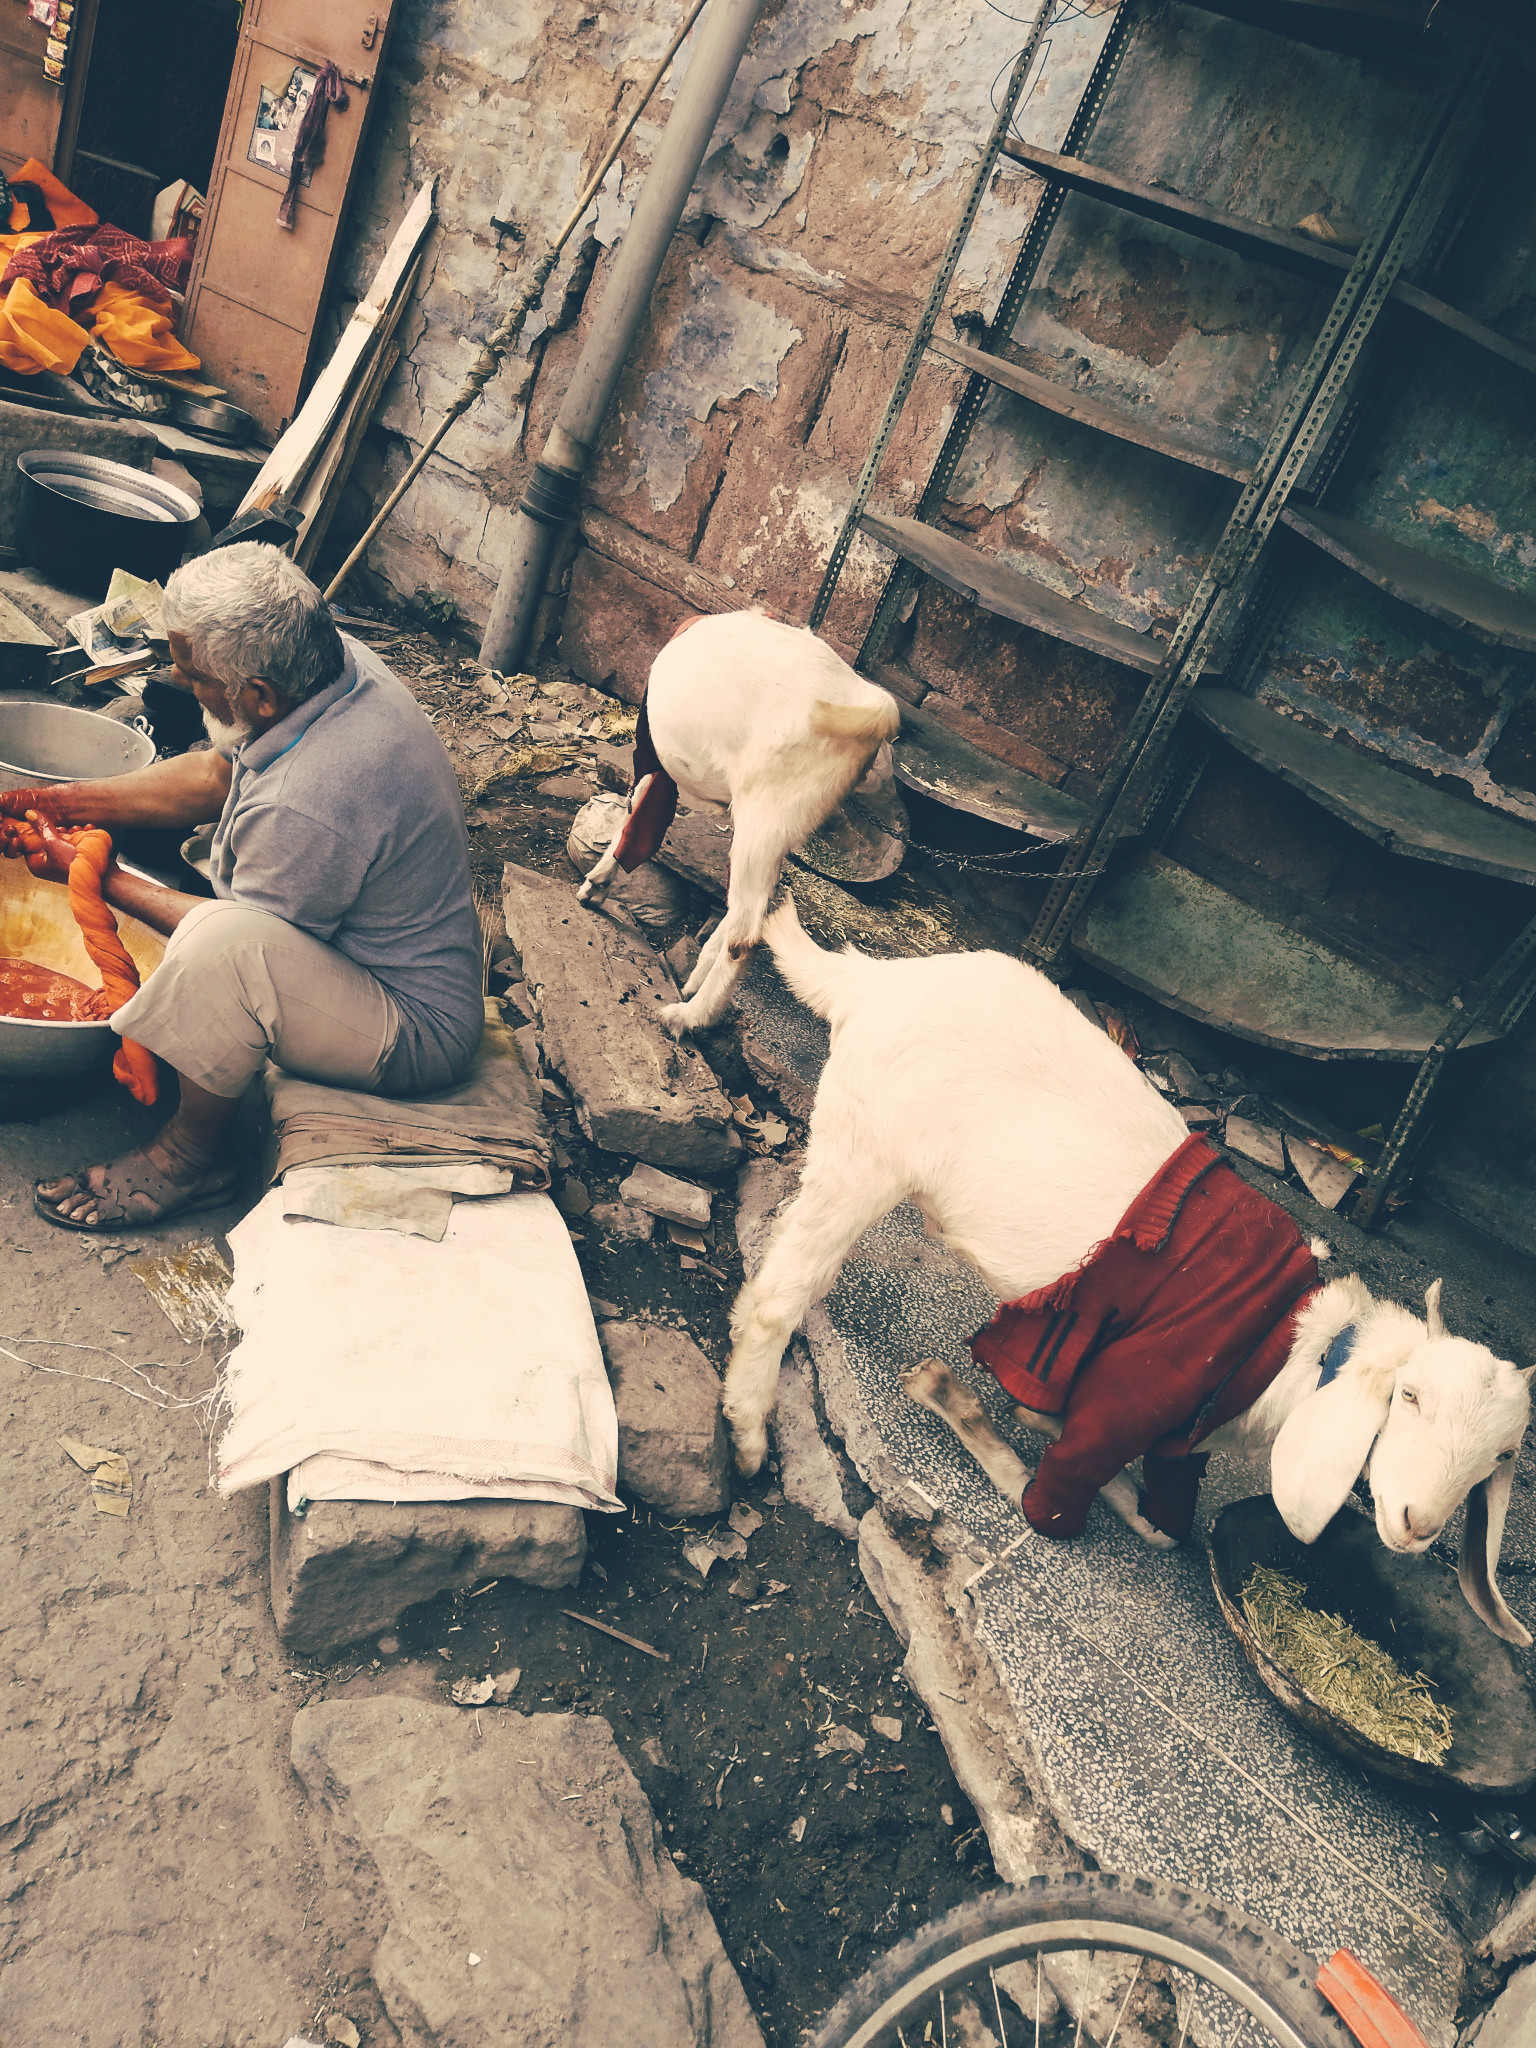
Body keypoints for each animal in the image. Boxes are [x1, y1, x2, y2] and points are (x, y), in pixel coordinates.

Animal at [581, 598, 909, 1032]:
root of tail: (869, 703)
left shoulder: (654, 762)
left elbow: (632, 820)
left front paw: (594, 887)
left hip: (764, 811)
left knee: (746, 929)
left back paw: (689, 1016)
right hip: (779, 825)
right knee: (749, 904)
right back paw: (697, 979)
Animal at [724, 897, 1536, 1646]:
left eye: (1502, 1455)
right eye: (1409, 1397)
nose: (1416, 1523)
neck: (1291, 1352)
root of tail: (880, 980)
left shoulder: (1178, 1440)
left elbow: (1165, 1527)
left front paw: (1039, 1420)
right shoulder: (1138, 1388)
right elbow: (1049, 1502)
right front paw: (955, 1399)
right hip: (865, 1153)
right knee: (776, 1295)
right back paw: (748, 1434)